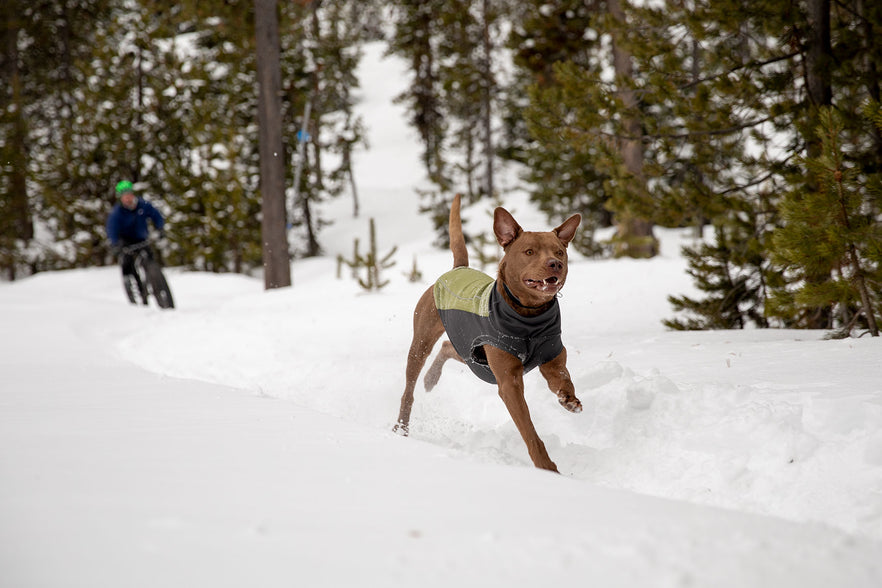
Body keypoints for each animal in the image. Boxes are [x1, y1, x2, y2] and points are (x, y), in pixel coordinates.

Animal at [396, 195, 580, 470]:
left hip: (473, 355)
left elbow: (562, 378)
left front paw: (569, 399)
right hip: (422, 342)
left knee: (448, 348)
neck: (529, 317)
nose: (555, 264)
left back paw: (431, 379)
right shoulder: (508, 382)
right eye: (529, 252)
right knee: (409, 390)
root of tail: (458, 268)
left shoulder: (552, 357)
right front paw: (546, 467)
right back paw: (401, 428)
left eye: (559, 251)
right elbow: (528, 430)